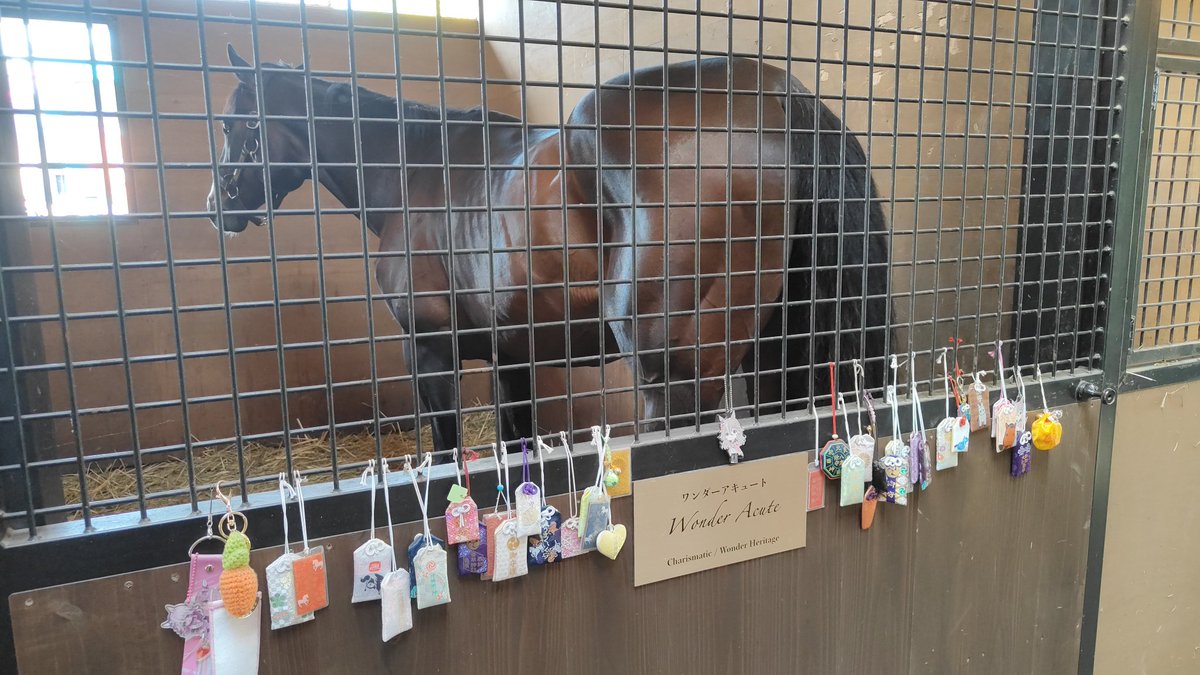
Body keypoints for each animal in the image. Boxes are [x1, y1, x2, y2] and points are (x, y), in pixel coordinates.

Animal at [208, 44, 890, 455]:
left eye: (236, 123)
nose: (219, 207)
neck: (415, 169)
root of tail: (781, 96)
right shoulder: (511, 356)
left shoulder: (429, 353)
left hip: (672, 375)